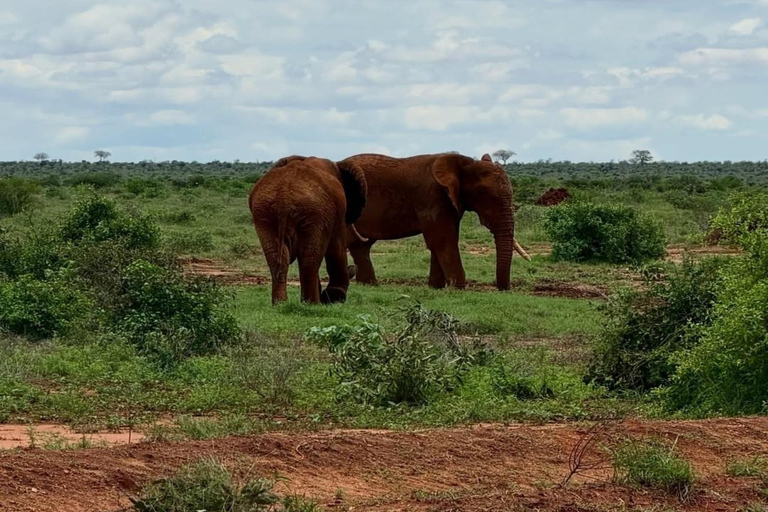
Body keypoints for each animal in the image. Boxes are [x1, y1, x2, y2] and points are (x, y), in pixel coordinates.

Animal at [249, 155, 367, 304]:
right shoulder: (339, 210)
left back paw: (280, 303)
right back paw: (312, 303)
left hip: (264, 212)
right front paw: (334, 298)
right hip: (314, 211)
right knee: (309, 257)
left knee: (277, 256)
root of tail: (284, 195)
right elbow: (337, 246)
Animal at [340, 152, 530, 291]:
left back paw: (370, 285)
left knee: (362, 245)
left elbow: (440, 242)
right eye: (484, 194)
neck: (466, 162)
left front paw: (435, 287)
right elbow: (444, 241)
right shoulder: (432, 197)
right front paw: (458, 288)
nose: (503, 290)